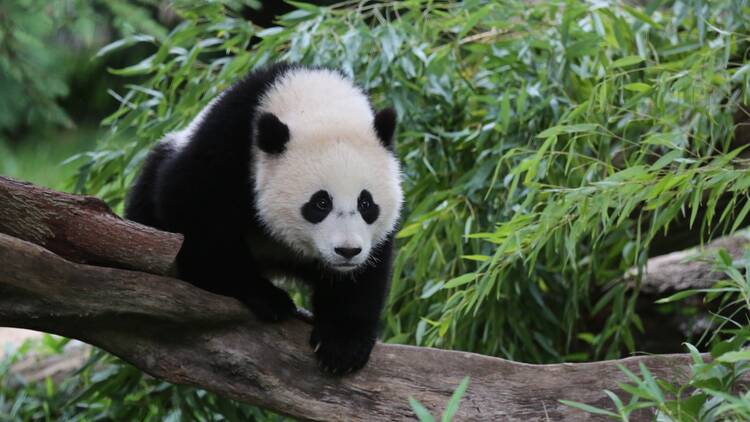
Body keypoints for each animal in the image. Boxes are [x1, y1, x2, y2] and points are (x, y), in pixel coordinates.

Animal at [128, 61, 406, 372]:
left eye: (366, 203)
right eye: (320, 203)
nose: (347, 251)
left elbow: (365, 274)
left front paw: (342, 346)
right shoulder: (228, 141)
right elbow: (195, 213)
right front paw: (265, 296)